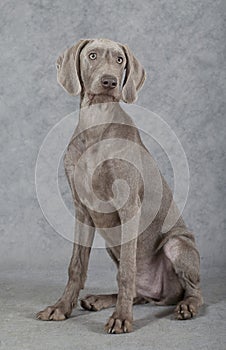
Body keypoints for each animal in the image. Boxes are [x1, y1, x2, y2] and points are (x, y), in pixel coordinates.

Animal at [37, 38, 203, 334]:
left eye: (119, 60)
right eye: (92, 55)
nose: (109, 82)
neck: (97, 123)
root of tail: (162, 296)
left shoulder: (129, 208)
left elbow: (126, 271)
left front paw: (121, 318)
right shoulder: (82, 209)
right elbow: (76, 266)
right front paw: (61, 307)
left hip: (177, 243)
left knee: (193, 291)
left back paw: (187, 307)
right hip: (112, 245)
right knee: (139, 292)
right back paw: (98, 300)